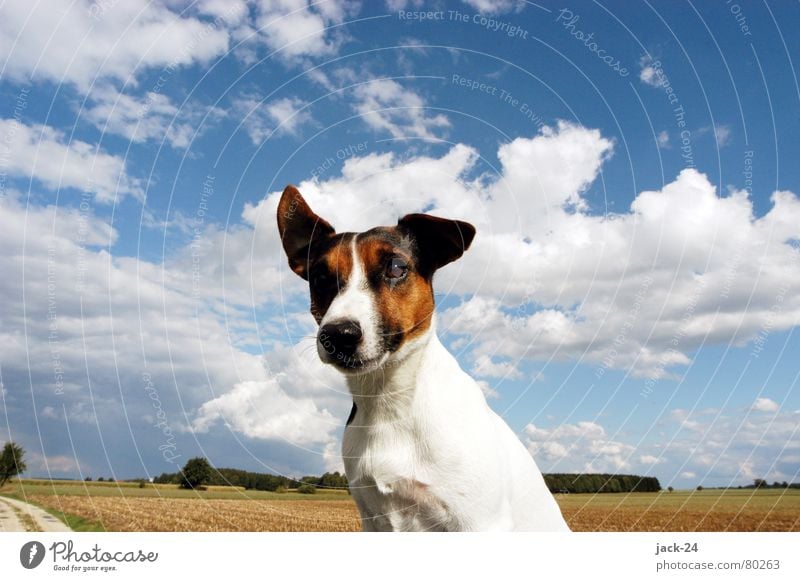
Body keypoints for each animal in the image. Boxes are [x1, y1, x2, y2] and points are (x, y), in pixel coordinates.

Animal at [276, 186, 568, 532]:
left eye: (396, 268)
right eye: (320, 277)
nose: (337, 335)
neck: (390, 400)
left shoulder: (479, 522)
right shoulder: (371, 517)